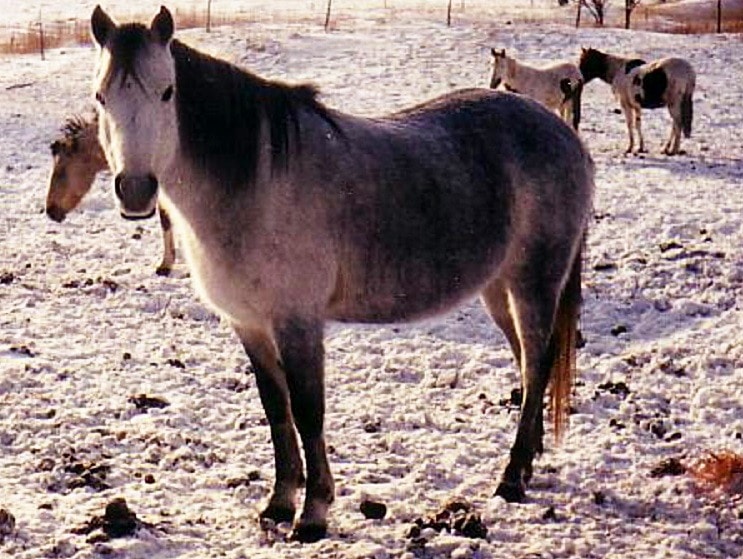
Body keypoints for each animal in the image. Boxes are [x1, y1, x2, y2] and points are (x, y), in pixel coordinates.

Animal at [90, 5, 596, 544]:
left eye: (167, 92)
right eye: (101, 97)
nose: (136, 190)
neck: (256, 181)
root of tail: (565, 136)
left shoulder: (298, 322)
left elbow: (308, 411)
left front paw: (313, 513)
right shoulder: (249, 324)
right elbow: (276, 409)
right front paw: (278, 502)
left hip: (534, 283)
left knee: (537, 364)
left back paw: (512, 478)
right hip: (498, 289)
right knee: (528, 364)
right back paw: (528, 461)